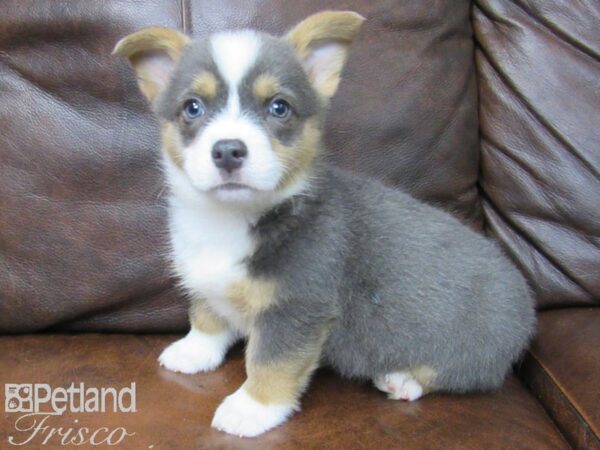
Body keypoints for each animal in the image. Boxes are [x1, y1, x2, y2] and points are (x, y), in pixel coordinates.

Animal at [112, 10, 536, 438]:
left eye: (279, 107)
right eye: (193, 108)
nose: (229, 151)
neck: (232, 218)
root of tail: (526, 306)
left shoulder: (297, 308)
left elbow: (270, 363)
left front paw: (251, 409)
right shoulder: (208, 284)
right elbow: (206, 316)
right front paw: (194, 350)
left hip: (471, 349)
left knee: (460, 374)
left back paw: (402, 379)